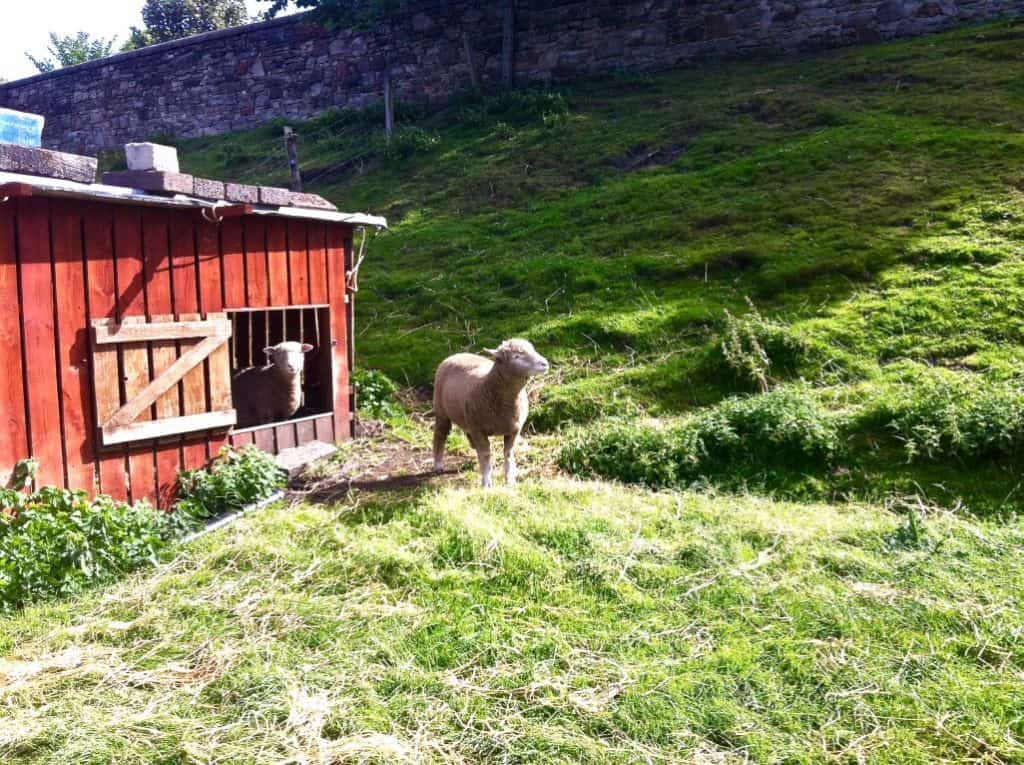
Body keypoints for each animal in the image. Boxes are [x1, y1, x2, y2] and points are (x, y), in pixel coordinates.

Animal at [430, 337, 548, 487]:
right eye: (516, 356)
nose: (545, 363)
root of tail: (455, 355)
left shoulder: (514, 430)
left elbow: (508, 453)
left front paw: (510, 480)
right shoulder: (479, 431)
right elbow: (486, 455)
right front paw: (486, 483)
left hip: (467, 419)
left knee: (470, 439)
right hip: (442, 411)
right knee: (440, 435)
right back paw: (438, 464)